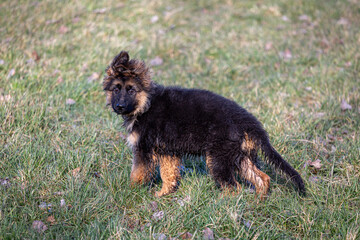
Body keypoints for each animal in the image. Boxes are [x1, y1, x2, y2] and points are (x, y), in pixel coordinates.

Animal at [102, 50, 306, 199]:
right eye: (116, 89)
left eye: (131, 90)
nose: (119, 107)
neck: (146, 104)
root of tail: (249, 122)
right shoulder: (167, 152)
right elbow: (169, 175)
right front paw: (163, 194)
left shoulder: (143, 150)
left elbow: (138, 174)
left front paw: (131, 192)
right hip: (240, 156)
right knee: (263, 179)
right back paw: (258, 201)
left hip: (219, 158)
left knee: (234, 187)